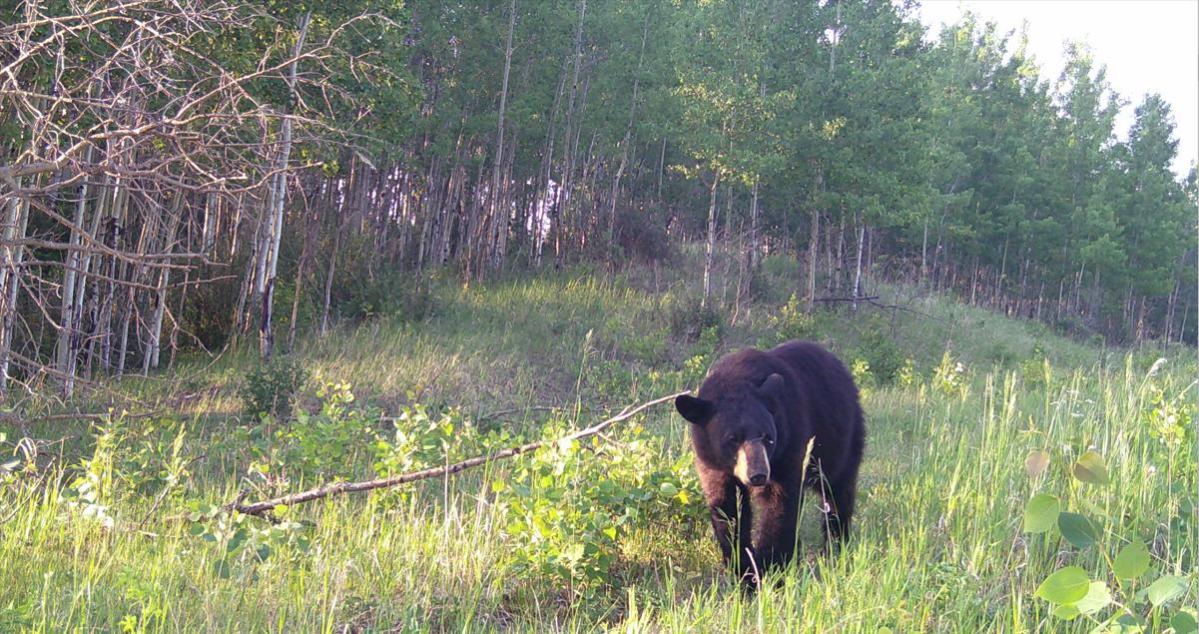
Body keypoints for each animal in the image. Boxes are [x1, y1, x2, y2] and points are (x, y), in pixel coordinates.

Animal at [676, 337, 863, 584]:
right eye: (732, 439)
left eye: (768, 437)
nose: (758, 475)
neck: (737, 379)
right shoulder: (712, 462)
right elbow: (727, 508)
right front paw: (744, 569)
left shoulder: (790, 444)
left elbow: (780, 505)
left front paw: (772, 568)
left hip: (840, 439)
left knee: (837, 491)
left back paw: (836, 545)